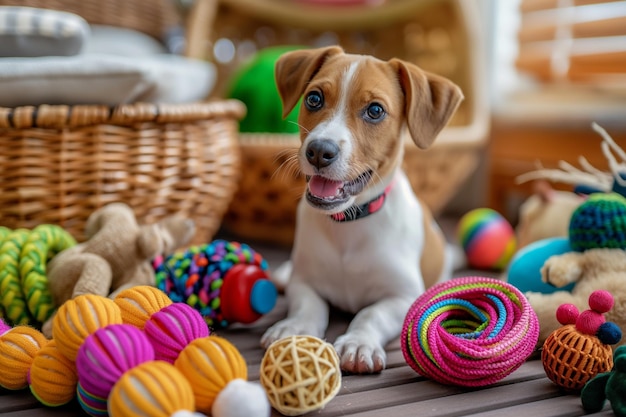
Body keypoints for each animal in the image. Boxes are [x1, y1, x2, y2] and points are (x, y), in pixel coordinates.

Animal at [260, 46, 464, 374]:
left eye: (375, 111)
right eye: (313, 98)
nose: (319, 151)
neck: (349, 225)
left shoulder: (402, 296)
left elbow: (371, 314)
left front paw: (358, 342)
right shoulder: (304, 283)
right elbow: (308, 306)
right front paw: (294, 327)